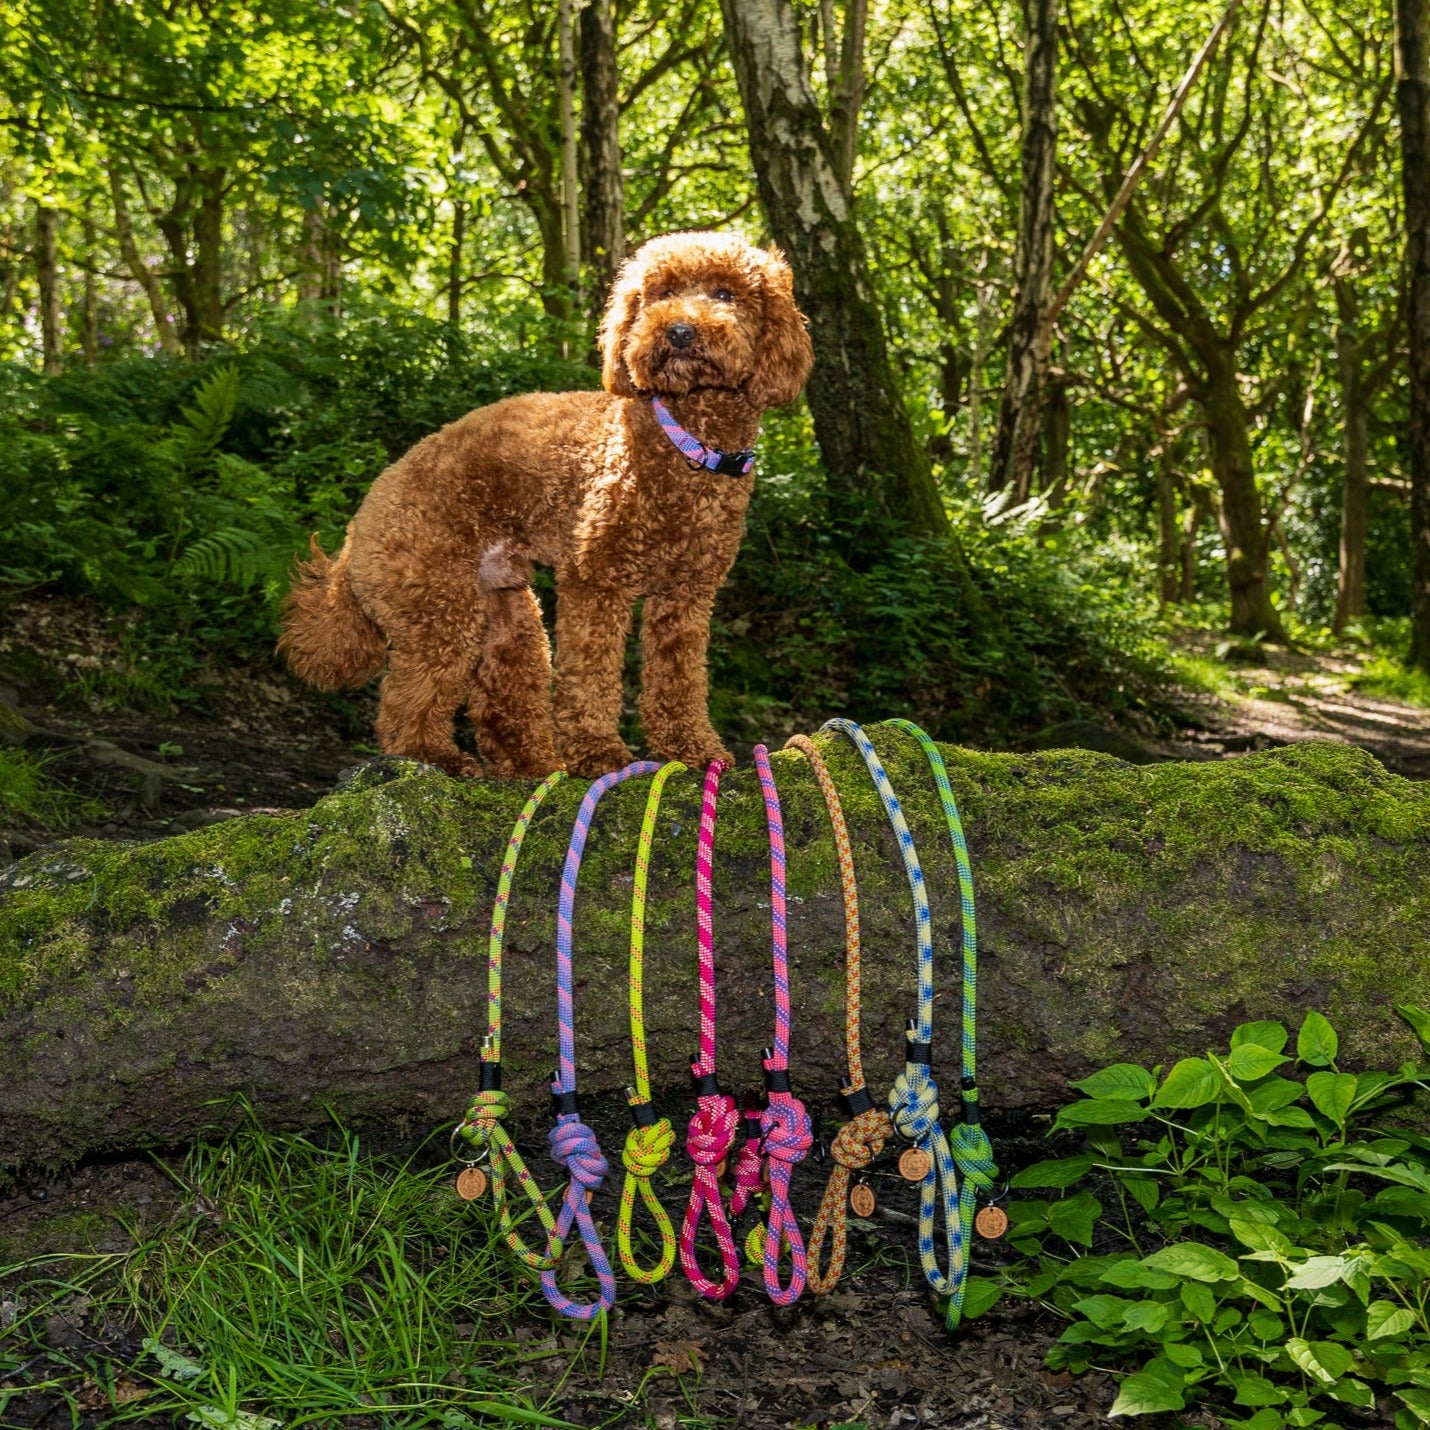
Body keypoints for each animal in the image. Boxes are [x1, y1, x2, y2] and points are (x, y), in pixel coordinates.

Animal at [278, 228, 817, 777]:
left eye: (726, 294)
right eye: (659, 294)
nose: (680, 332)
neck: (687, 442)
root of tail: (358, 527)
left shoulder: (686, 594)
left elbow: (680, 678)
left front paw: (691, 747)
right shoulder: (596, 579)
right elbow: (591, 673)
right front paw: (599, 753)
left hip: (508, 617)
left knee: (501, 697)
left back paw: (535, 764)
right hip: (438, 605)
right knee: (408, 699)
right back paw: (434, 755)